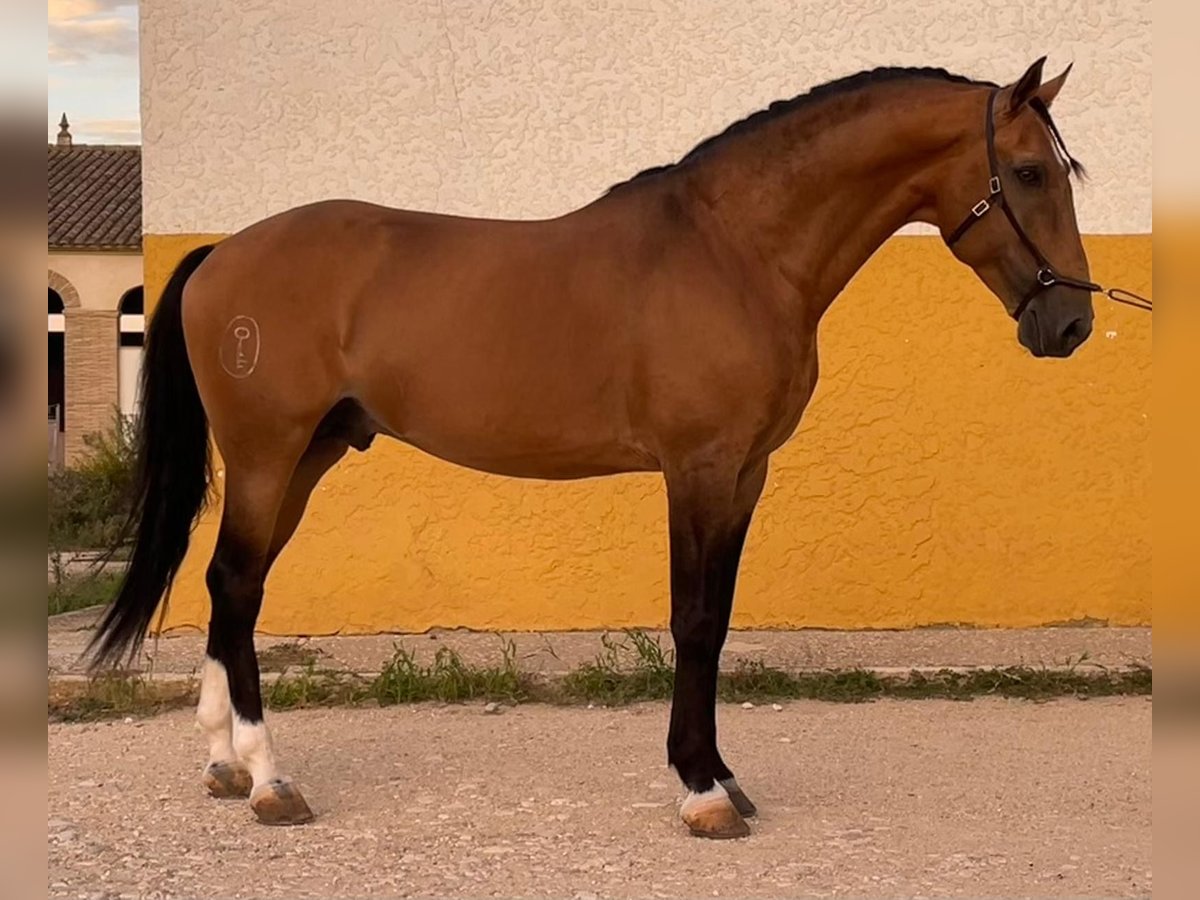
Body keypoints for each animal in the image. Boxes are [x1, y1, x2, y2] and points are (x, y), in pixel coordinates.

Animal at [91, 60, 1099, 844]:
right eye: (1026, 171)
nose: (1073, 324)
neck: (737, 250)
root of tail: (222, 253)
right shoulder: (698, 469)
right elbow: (694, 621)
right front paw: (701, 792)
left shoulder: (746, 474)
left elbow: (717, 620)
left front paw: (724, 776)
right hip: (270, 453)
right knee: (235, 583)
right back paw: (269, 779)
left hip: (309, 456)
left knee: (232, 586)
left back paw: (226, 766)